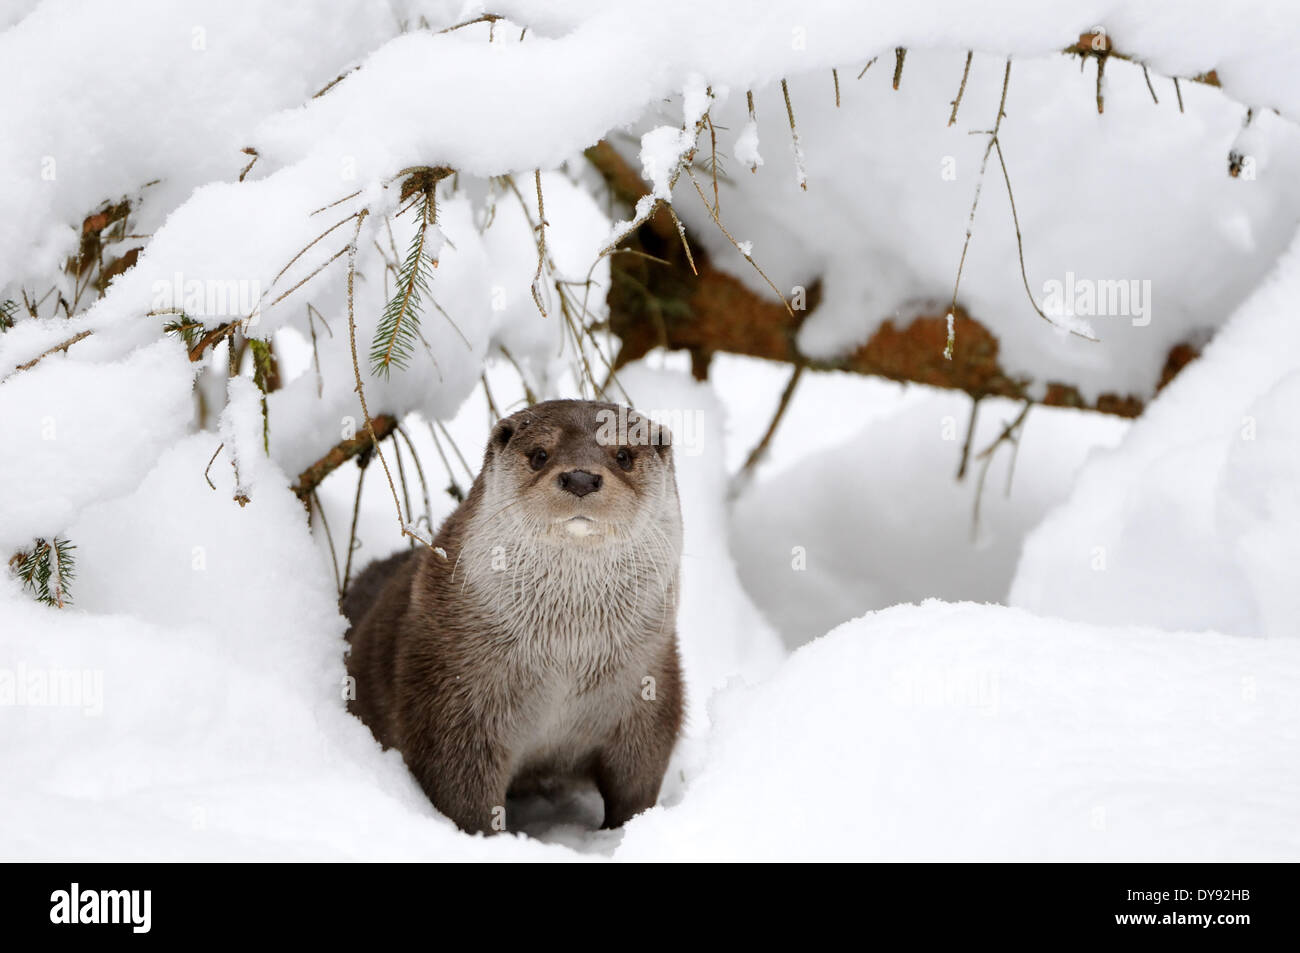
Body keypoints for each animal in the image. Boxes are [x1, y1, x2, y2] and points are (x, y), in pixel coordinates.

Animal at [340, 397, 686, 826]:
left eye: (623, 455)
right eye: (540, 455)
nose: (580, 478)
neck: (566, 659)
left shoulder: (650, 689)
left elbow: (638, 783)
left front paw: (625, 830)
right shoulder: (452, 700)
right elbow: (461, 793)